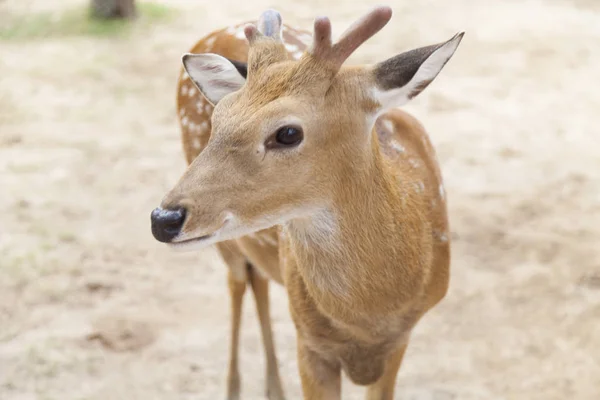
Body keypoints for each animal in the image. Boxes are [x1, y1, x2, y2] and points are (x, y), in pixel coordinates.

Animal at [151, 5, 464, 400]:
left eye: (288, 132)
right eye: (217, 119)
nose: (163, 218)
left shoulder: (400, 340)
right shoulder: (309, 342)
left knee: (258, 278)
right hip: (231, 247)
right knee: (238, 281)